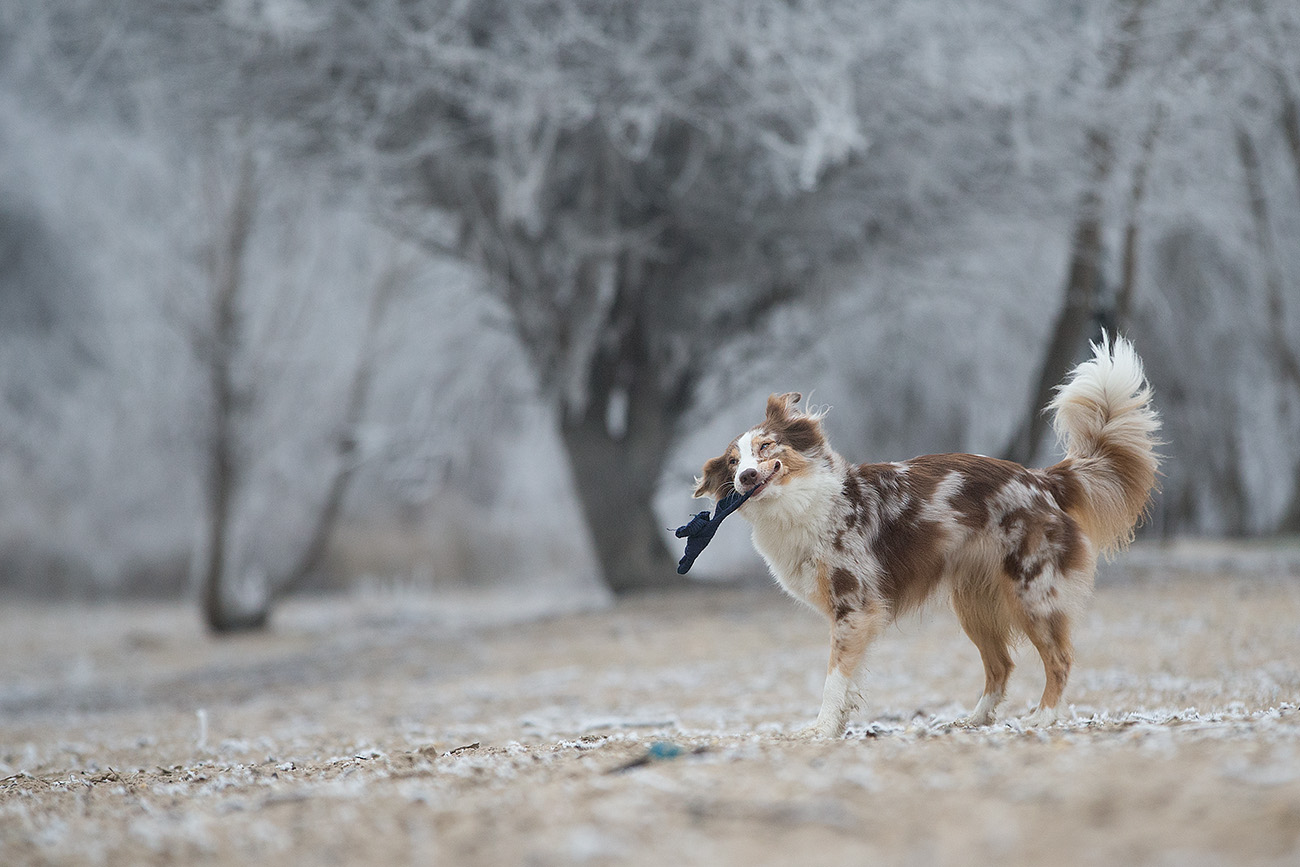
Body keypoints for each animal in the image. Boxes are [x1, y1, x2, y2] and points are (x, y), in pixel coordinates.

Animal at [691, 335, 1159, 738]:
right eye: (732, 462)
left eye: (767, 446)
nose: (746, 476)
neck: (799, 502)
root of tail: (1043, 480)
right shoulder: (852, 615)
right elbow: (848, 681)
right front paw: (837, 726)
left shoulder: (854, 606)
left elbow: (834, 678)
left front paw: (822, 730)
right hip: (974, 604)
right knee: (1001, 665)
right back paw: (974, 721)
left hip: (1033, 592)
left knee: (1059, 658)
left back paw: (1043, 717)